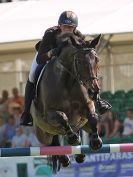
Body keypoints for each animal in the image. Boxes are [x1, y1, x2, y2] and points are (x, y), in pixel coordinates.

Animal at [30, 32, 102, 173]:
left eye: (97, 59)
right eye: (79, 61)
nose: (93, 91)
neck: (68, 81)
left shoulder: (86, 106)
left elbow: (93, 117)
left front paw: (96, 142)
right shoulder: (49, 114)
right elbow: (63, 117)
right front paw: (73, 138)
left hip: (82, 124)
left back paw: (81, 153)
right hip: (43, 132)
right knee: (51, 144)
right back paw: (65, 158)